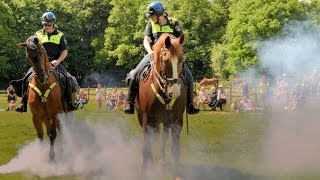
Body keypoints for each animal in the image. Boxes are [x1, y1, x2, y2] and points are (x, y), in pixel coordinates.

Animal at [134, 33, 185, 179]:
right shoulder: (147, 120)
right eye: (165, 60)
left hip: (166, 121)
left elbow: (175, 149)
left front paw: (177, 174)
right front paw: (145, 170)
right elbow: (146, 146)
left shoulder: (177, 121)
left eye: (181, 60)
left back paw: (162, 160)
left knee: (163, 137)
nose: (174, 92)